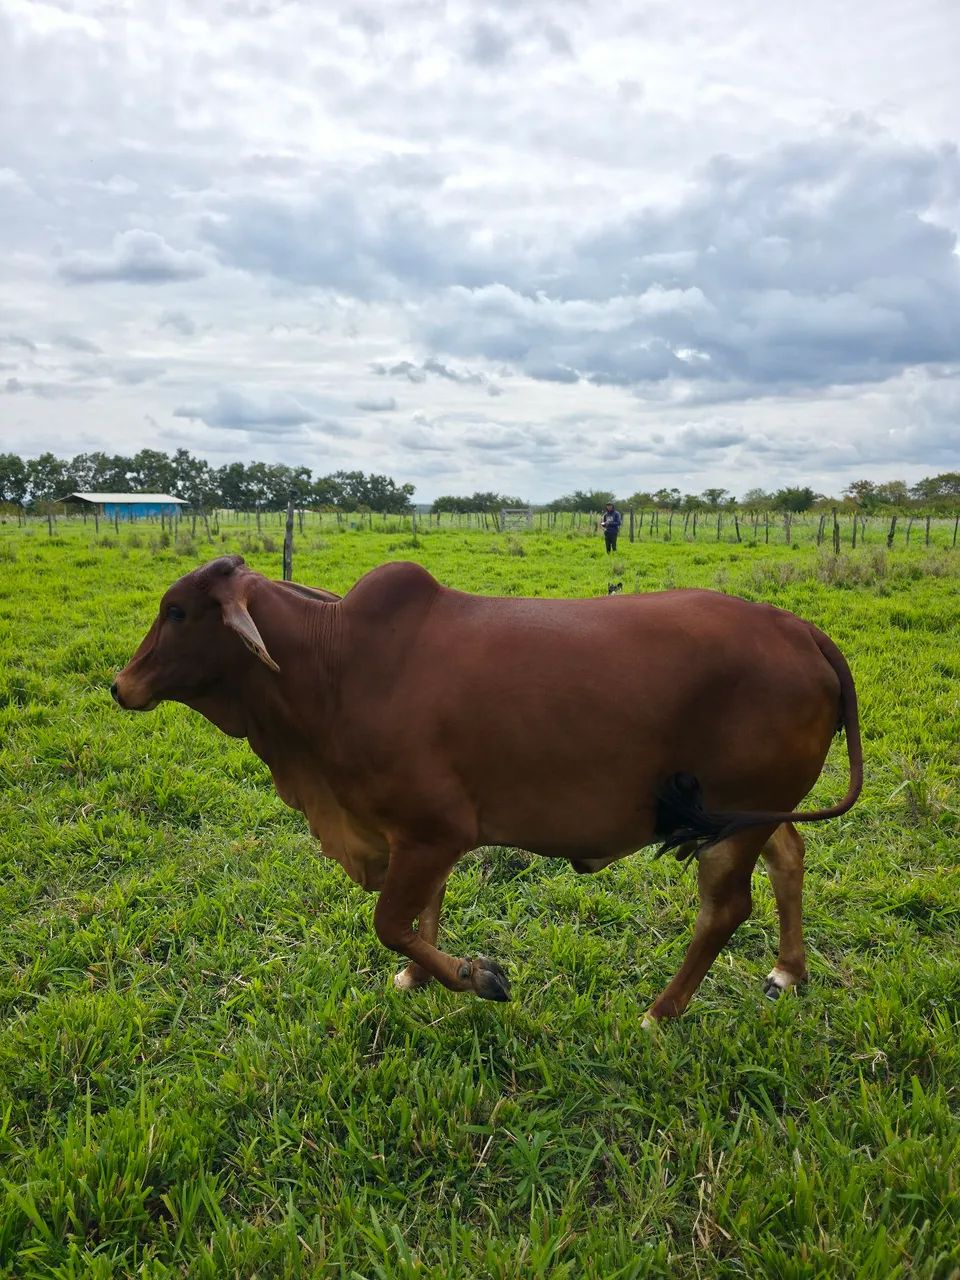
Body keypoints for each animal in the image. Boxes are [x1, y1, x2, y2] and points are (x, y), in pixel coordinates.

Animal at [112, 555, 862, 1025]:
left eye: (177, 612)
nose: (121, 686)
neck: (332, 663)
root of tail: (802, 629)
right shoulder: (413, 837)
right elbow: (424, 914)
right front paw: (420, 978)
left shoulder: (433, 829)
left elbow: (391, 924)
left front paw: (478, 978)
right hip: (745, 813)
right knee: (790, 856)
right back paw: (788, 971)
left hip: (729, 824)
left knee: (724, 910)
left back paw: (659, 1013)